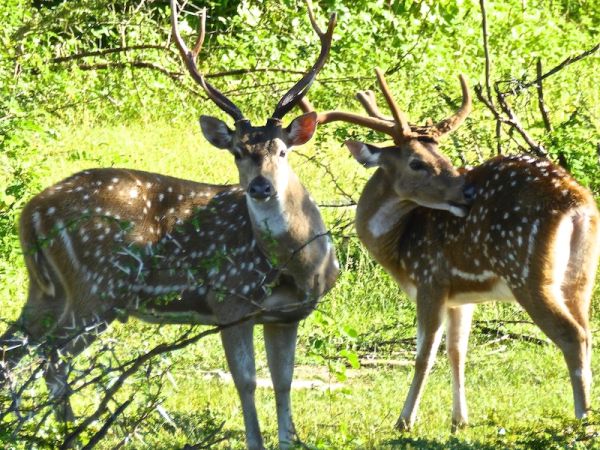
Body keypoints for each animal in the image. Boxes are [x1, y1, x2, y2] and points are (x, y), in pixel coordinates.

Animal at [0, 1, 338, 448]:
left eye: (282, 150)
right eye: (236, 152)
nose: (261, 187)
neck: (303, 266)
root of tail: (31, 212)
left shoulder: (285, 316)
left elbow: (283, 383)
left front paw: (287, 438)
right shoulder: (230, 299)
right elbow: (246, 381)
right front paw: (254, 439)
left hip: (46, 290)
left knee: (13, 347)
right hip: (97, 287)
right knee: (54, 359)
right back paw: (67, 431)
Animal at [300, 69, 600, 428]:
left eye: (442, 157)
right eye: (417, 162)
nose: (467, 192)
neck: (398, 244)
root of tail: (576, 203)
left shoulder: (431, 278)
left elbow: (425, 355)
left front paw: (404, 420)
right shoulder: (462, 294)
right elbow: (457, 352)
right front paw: (460, 420)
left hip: (528, 272)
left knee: (572, 336)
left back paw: (582, 418)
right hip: (580, 278)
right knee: (587, 332)